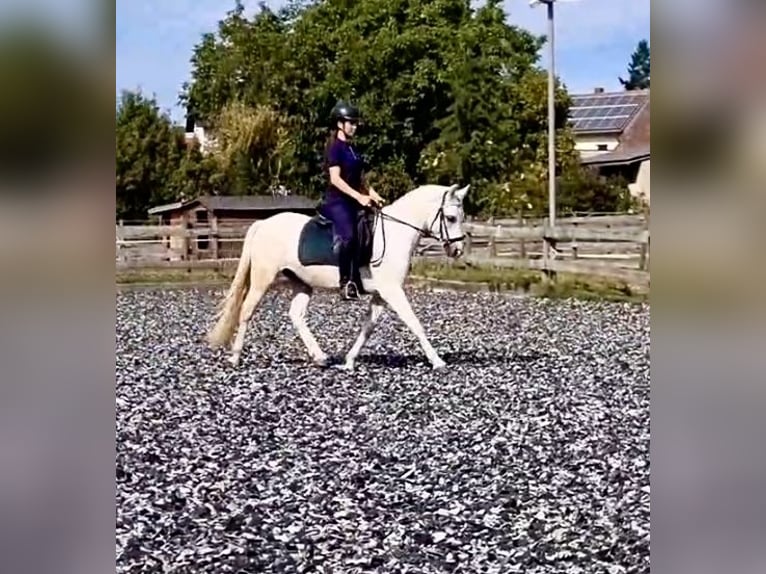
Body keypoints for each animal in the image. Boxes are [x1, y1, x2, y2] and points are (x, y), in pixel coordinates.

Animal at [206, 184, 468, 374]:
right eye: (451, 217)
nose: (458, 250)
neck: (395, 233)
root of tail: (263, 224)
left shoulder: (381, 294)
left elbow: (367, 327)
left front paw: (349, 361)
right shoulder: (392, 290)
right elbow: (415, 323)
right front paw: (438, 361)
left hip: (302, 282)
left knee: (296, 315)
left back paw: (320, 357)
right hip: (263, 278)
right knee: (246, 311)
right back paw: (235, 357)